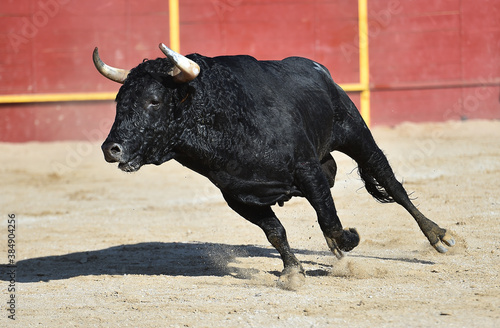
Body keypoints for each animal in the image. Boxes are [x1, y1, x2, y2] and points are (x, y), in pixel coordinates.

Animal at [92, 44, 456, 288]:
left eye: (154, 101)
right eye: (119, 102)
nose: (111, 149)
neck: (229, 120)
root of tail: (318, 69)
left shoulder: (307, 171)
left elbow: (330, 220)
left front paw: (348, 240)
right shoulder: (238, 196)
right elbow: (276, 232)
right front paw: (293, 272)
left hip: (355, 133)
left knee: (390, 181)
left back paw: (439, 235)